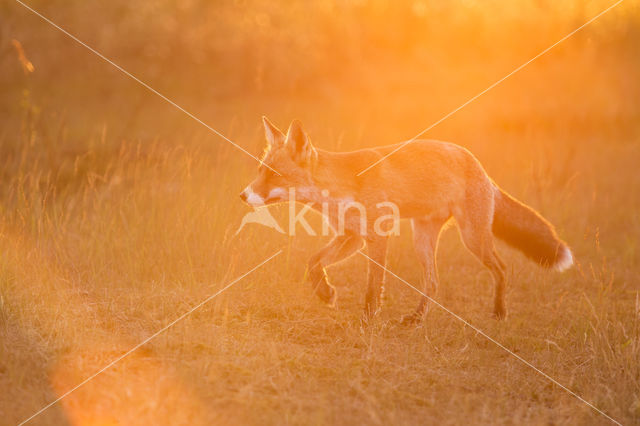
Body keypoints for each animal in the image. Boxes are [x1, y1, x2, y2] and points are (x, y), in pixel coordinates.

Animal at [241, 116, 576, 322]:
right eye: (259, 171)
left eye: (274, 175)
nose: (243, 195)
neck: (340, 189)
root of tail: (479, 166)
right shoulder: (351, 237)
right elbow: (313, 262)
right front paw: (325, 293)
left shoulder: (377, 236)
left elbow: (373, 286)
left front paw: (368, 319)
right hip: (422, 240)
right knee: (434, 282)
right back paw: (416, 319)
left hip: (473, 238)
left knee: (502, 269)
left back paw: (499, 312)